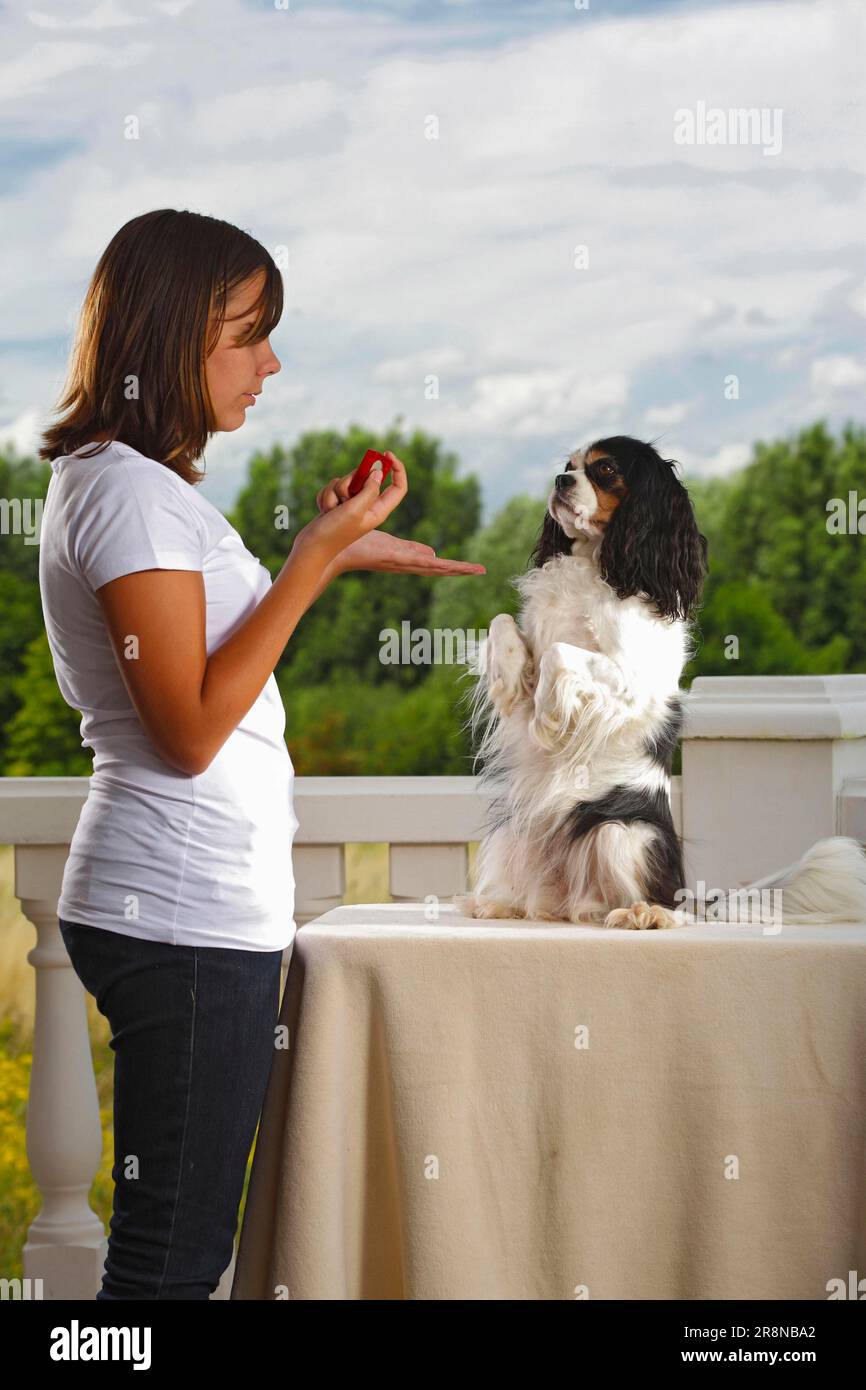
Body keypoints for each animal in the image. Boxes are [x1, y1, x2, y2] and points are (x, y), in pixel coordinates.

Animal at [453, 433, 866, 928]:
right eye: (569, 466)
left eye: (605, 471)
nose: (559, 480)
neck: (596, 560)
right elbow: (503, 626)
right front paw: (509, 682)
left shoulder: (630, 684)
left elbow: (561, 655)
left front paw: (548, 719)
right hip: (513, 833)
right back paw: (503, 904)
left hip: (623, 832)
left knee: (661, 904)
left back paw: (644, 912)